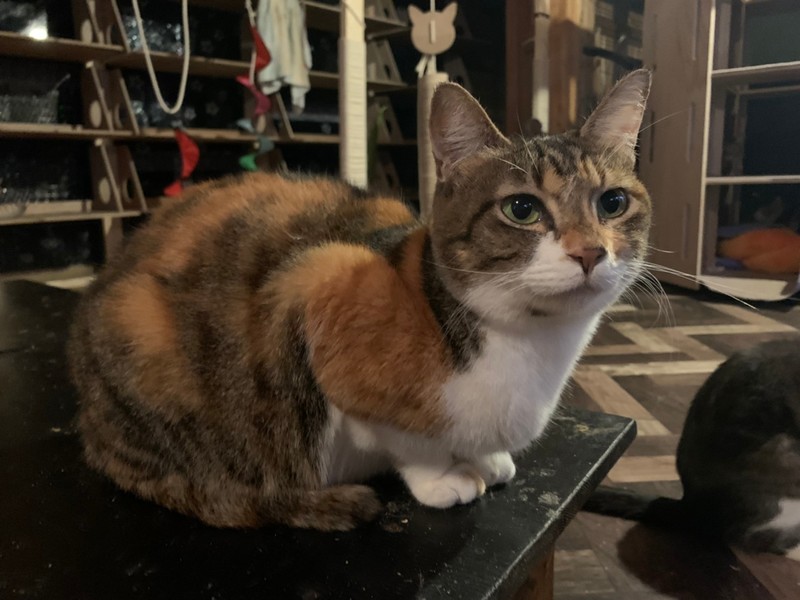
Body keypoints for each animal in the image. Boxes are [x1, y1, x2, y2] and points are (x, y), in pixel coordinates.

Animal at [68, 70, 653, 531]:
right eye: (522, 209)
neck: (530, 344)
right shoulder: (318, 283)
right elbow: (409, 441)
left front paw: (486, 457)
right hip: (141, 329)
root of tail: (90, 431)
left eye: (613, 202)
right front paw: (446, 477)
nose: (589, 252)